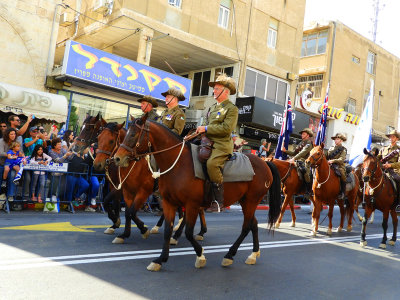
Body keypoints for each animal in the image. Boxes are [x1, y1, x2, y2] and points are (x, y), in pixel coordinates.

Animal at [112, 116, 282, 274]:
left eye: (133, 134)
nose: (117, 158)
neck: (178, 163)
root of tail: (265, 162)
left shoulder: (191, 204)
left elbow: (188, 232)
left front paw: (200, 255)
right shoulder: (168, 202)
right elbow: (167, 230)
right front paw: (160, 259)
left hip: (252, 200)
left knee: (246, 226)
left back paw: (229, 255)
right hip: (245, 201)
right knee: (253, 224)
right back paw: (253, 254)